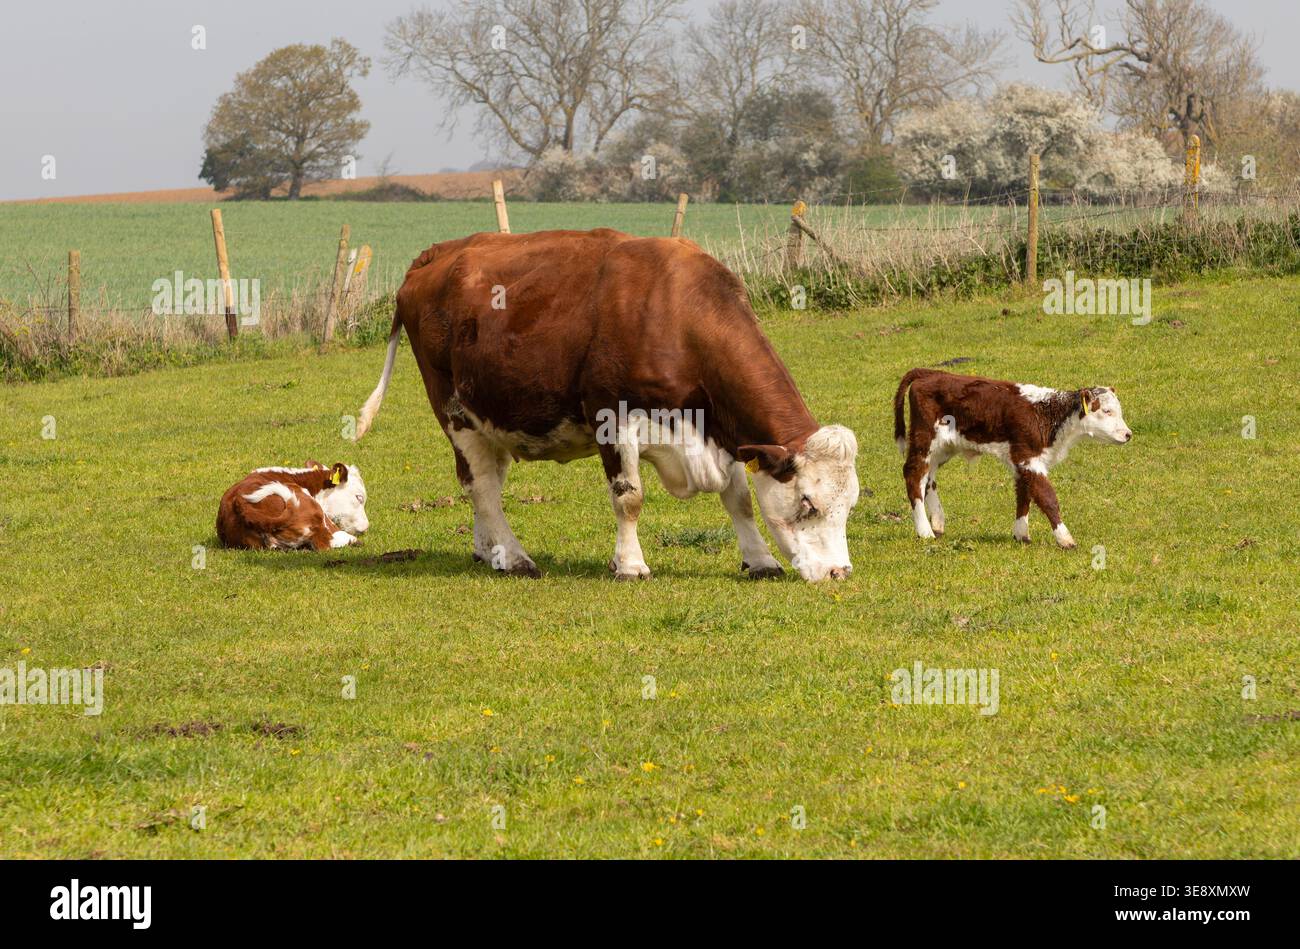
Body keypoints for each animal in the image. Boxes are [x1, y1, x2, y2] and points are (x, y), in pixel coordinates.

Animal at [354, 229, 859, 581]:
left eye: (851, 504)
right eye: (809, 503)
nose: (839, 573)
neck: (676, 316)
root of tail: (436, 254)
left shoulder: (721, 427)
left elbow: (738, 499)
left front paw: (759, 560)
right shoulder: (613, 417)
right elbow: (629, 497)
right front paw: (630, 565)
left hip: (491, 413)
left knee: (487, 481)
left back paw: (488, 549)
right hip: (454, 410)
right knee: (480, 485)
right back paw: (514, 557)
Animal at [893, 369, 1132, 547]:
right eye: (1107, 411)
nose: (1128, 434)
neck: (1046, 415)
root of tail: (930, 373)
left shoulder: (1022, 462)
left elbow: (1025, 495)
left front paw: (1021, 534)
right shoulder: (1028, 458)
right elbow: (1047, 497)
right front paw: (1065, 539)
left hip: (942, 448)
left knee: (929, 479)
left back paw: (937, 523)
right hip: (924, 440)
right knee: (913, 475)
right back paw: (925, 531)